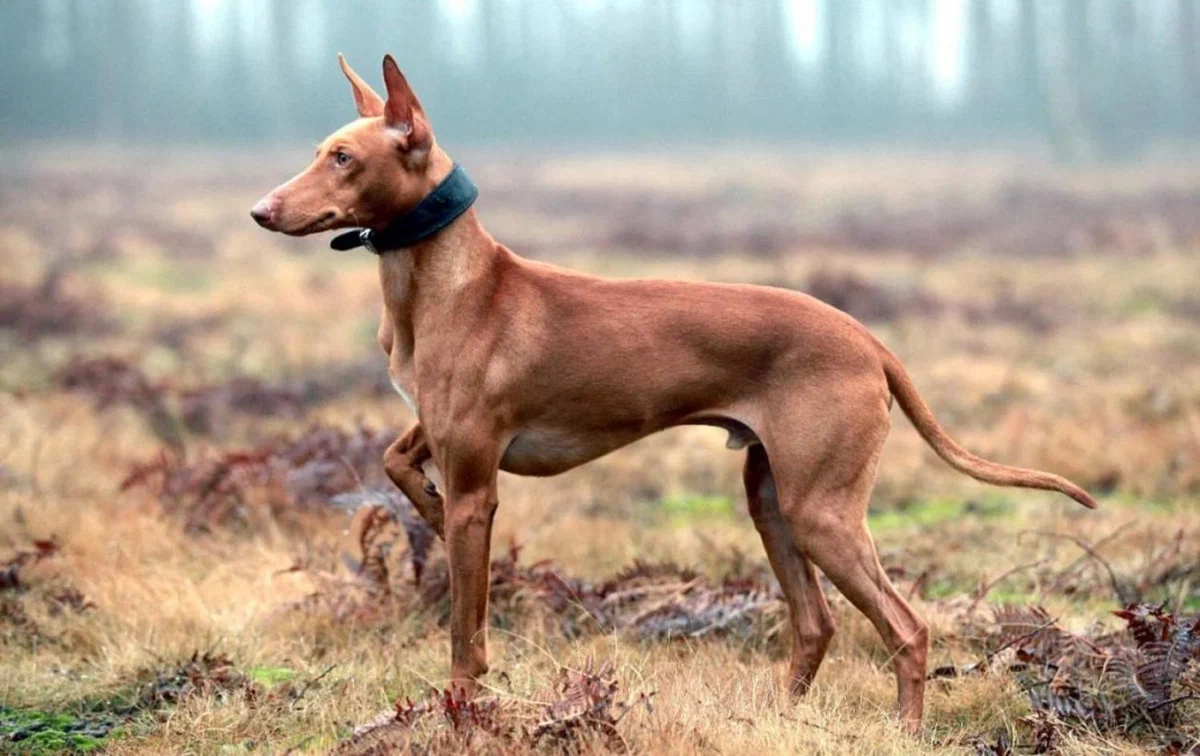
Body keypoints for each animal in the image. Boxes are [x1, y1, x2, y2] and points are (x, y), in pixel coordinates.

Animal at [255, 53, 1099, 734]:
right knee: (817, 624)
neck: (447, 284)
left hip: (821, 511)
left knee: (906, 627)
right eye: (319, 152)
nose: (262, 210)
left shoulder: (477, 485)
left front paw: (460, 710)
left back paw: (905, 731)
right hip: (772, 499)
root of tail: (866, 337)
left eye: (342, 157)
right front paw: (420, 508)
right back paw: (777, 719)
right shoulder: (438, 436)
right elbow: (394, 462)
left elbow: (466, 631)